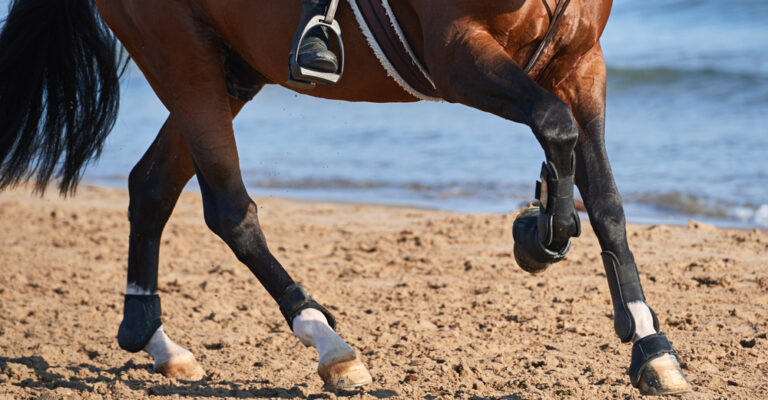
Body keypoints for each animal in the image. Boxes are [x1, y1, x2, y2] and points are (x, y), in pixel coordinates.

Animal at [0, 0, 692, 395]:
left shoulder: (581, 60)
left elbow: (607, 202)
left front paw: (651, 347)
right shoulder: (455, 52)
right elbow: (555, 128)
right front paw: (541, 233)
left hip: (230, 66)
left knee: (150, 186)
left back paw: (155, 339)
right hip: (183, 59)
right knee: (229, 209)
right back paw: (328, 343)